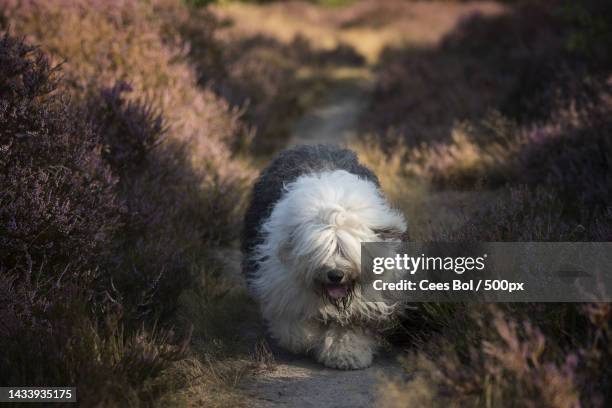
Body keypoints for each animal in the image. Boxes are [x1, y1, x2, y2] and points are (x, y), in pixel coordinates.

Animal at [240, 146, 406, 370]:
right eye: (321, 250)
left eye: (345, 250)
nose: (335, 275)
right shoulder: (282, 285)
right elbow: (294, 322)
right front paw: (307, 337)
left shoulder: (369, 298)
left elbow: (351, 326)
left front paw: (347, 354)